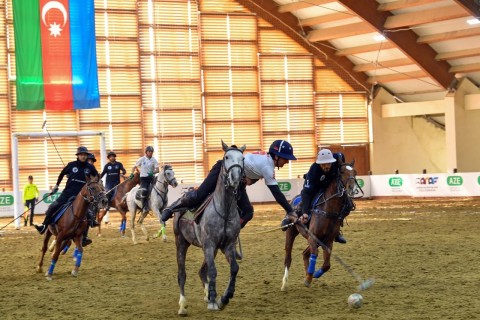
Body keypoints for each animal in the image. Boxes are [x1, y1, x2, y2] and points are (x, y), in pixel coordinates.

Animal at [174, 141, 246, 316]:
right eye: (226, 157)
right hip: (181, 242)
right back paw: (182, 305)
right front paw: (214, 301)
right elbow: (213, 271)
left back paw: (207, 294)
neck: (224, 211)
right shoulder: (209, 244)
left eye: (242, 159)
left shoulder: (227, 245)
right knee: (182, 274)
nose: (235, 178)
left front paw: (224, 298)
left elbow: (234, 268)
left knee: (202, 271)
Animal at [282, 159, 356, 290]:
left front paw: (313, 275)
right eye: (341, 172)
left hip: (318, 241)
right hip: (291, 232)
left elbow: (327, 264)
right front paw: (309, 278)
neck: (328, 209)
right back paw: (284, 283)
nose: (351, 189)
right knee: (288, 258)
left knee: (305, 253)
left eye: (355, 172)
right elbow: (315, 255)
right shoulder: (312, 237)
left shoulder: (328, 240)